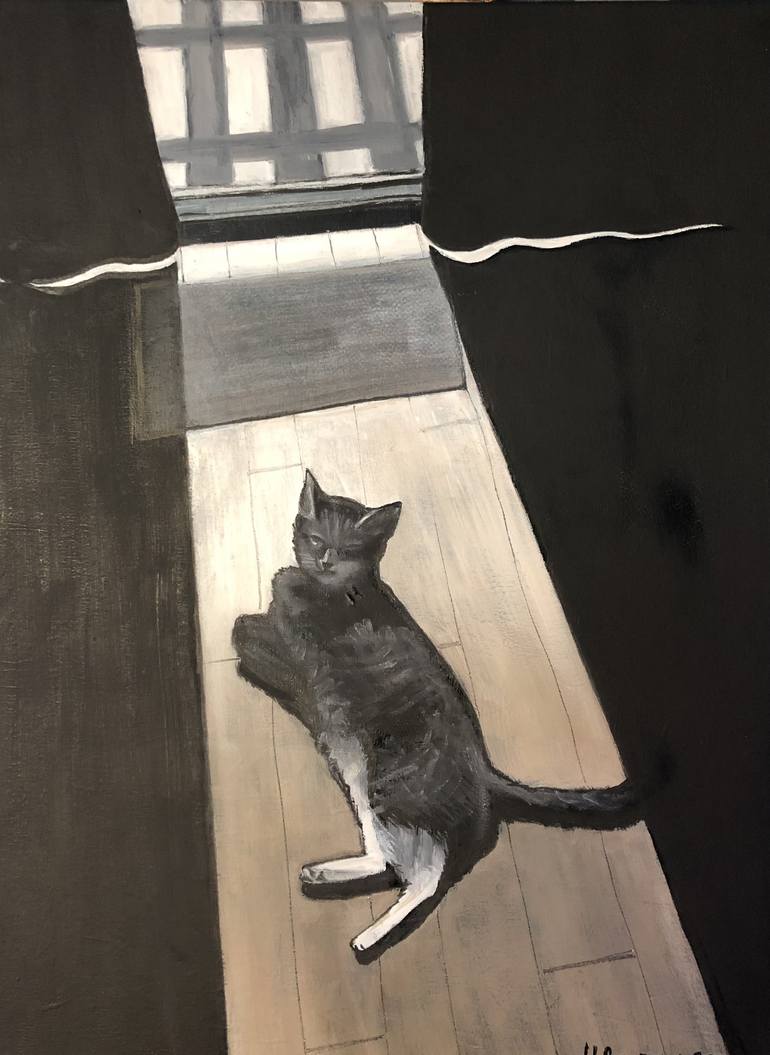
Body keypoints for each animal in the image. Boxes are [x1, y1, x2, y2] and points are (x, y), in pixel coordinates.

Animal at [233, 470, 640, 958]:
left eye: (347, 549)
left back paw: (368, 937)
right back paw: (323, 875)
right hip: (362, 786)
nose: (325, 560)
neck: (336, 590)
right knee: (386, 859)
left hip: (387, 788)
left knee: (426, 877)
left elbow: (253, 629)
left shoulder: (295, 645)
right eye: (315, 539)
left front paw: (255, 629)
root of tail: (483, 769)